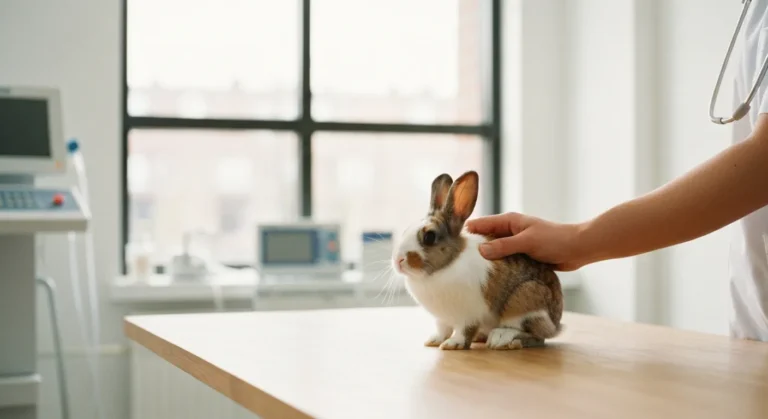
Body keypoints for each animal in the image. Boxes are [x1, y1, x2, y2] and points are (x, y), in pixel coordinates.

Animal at [392, 170, 563, 350]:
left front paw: (453, 344)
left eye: (429, 237)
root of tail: (556, 324)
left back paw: (501, 339)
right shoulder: (442, 318)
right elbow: (442, 329)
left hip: (525, 301)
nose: (398, 260)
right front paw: (433, 341)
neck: (445, 266)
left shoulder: (468, 314)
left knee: (534, 335)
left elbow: (463, 331)